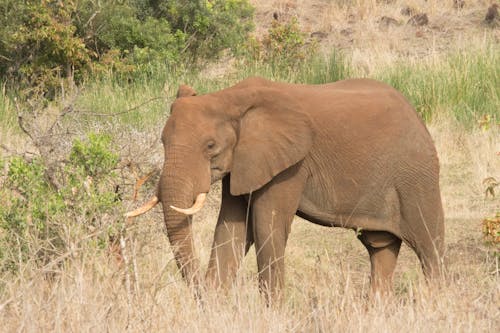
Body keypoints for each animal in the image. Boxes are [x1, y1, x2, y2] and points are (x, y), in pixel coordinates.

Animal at [126, 76, 446, 300]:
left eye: (210, 146)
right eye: (163, 142)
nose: (201, 294)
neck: (229, 97)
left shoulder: (290, 165)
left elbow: (266, 225)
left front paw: (272, 311)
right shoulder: (245, 163)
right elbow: (231, 227)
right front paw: (215, 305)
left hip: (417, 176)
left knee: (429, 247)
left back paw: (434, 305)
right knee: (381, 248)